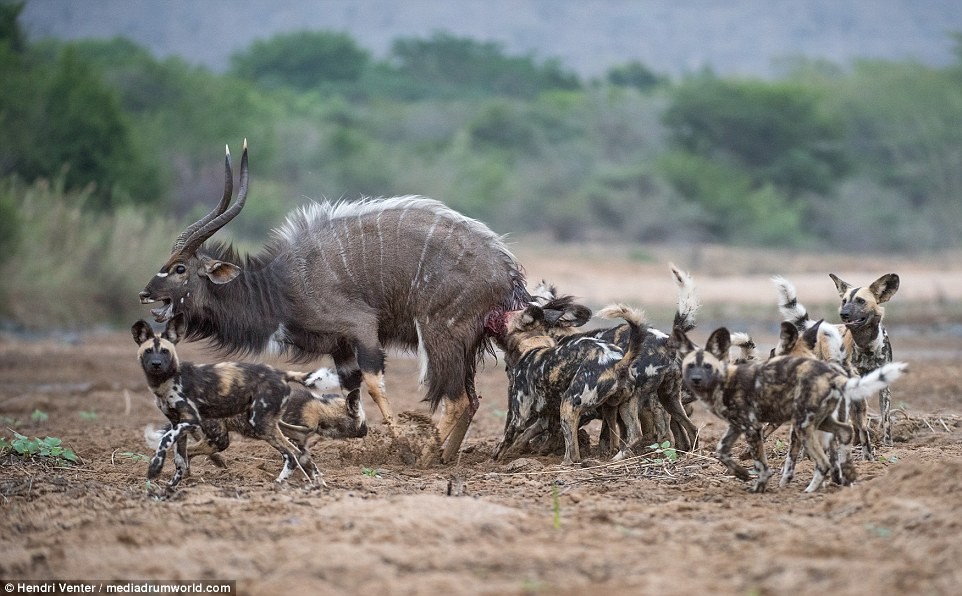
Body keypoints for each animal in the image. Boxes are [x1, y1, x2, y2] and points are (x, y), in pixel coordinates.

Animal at [131, 312, 322, 488]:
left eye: (165, 351)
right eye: (148, 351)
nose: (156, 364)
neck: (167, 382)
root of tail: (281, 373)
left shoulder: (190, 420)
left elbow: (166, 441)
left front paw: (155, 468)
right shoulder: (177, 422)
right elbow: (179, 458)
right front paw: (171, 486)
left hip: (248, 428)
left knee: (291, 454)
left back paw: (279, 483)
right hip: (263, 424)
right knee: (299, 449)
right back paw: (318, 483)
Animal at [139, 142, 528, 464]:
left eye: (180, 268)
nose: (144, 294)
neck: (281, 286)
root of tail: (506, 270)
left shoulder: (362, 329)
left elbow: (372, 383)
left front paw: (402, 447)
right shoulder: (340, 347)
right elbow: (351, 396)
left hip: (439, 334)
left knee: (457, 398)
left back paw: (425, 457)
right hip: (464, 343)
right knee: (471, 400)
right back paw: (445, 457)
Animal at [496, 298, 644, 466]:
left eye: (504, 317)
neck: (534, 345)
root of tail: (618, 362)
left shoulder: (519, 416)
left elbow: (506, 440)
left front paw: (496, 459)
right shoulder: (545, 417)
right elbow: (526, 436)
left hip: (568, 406)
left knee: (572, 454)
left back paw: (563, 465)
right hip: (616, 406)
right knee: (633, 435)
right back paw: (616, 457)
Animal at [672, 324, 904, 492]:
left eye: (707, 366)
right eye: (690, 366)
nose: (695, 380)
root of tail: (835, 375)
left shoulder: (755, 427)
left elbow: (766, 464)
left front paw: (761, 485)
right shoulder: (737, 426)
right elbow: (721, 451)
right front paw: (741, 473)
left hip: (804, 426)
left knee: (825, 460)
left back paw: (811, 489)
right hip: (825, 422)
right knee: (847, 438)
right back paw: (845, 477)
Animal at [772, 274, 900, 456]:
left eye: (860, 301)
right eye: (844, 301)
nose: (843, 314)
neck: (867, 346)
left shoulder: (883, 387)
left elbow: (886, 419)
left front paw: (886, 444)